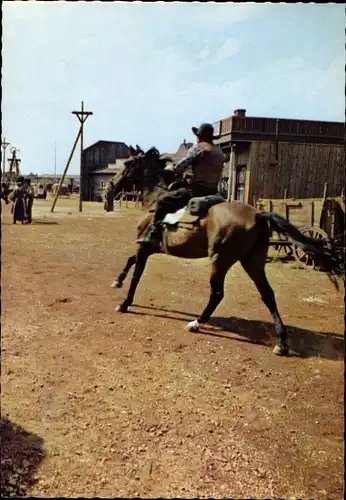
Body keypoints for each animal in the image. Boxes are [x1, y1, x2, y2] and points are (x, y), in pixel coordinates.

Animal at [111, 147, 344, 356]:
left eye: (128, 163)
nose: (112, 184)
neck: (155, 198)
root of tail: (258, 214)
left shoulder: (144, 246)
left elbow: (136, 275)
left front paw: (125, 303)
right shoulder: (149, 248)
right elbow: (130, 261)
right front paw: (118, 280)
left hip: (220, 261)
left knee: (217, 293)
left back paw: (197, 323)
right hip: (253, 262)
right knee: (268, 295)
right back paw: (281, 343)